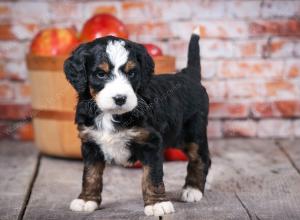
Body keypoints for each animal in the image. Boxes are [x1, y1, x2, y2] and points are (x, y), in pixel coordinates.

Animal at [62, 30, 211, 217]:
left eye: (131, 73)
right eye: (101, 74)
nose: (120, 98)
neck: (111, 115)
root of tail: (188, 74)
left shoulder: (151, 142)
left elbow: (152, 175)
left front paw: (157, 204)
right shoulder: (90, 143)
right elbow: (90, 174)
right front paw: (86, 200)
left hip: (194, 132)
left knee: (201, 158)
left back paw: (192, 190)